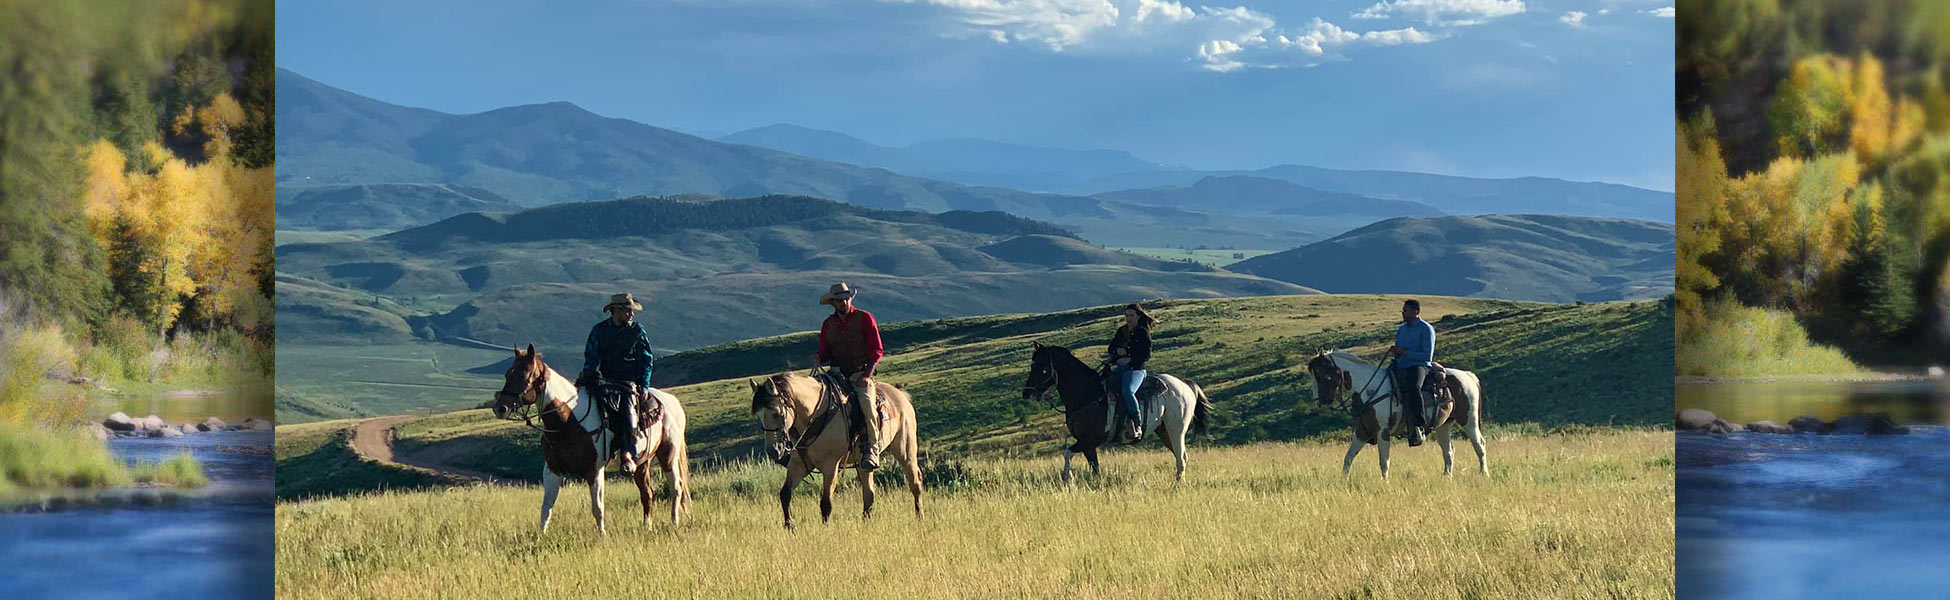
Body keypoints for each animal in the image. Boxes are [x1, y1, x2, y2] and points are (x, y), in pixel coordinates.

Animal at [487, 344, 694, 537]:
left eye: (524, 375)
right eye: (507, 374)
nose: (500, 408)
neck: (569, 421)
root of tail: (672, 401)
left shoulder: (594, 470)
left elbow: (597, 507)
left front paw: (602, 535)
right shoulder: (552, 469)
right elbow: (546, 508)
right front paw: (541, 536)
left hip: (668, 455)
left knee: (676, 488)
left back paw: (674, 522)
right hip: (642, 462)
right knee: (647, 493)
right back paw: (647, 527)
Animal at [748, 370, 924, 529]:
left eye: (777, 413)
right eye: (759, 416)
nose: (773, 451)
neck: (814, 415)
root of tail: (901, 396)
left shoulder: (830, 465)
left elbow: (826, 503)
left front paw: (825, 529)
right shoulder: (799, 465)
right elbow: (785, 494)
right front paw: (789, 526)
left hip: (905, 451)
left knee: (915, 483)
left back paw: (919, 516)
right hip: (863, 463)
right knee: (869, 492)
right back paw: (866, 522)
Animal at [1014, 342, 1209, 483]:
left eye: (1042, 368)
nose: (1026, 393)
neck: (1088, 394)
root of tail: (1186, 385)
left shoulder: (1090, 440)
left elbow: (1069, 454)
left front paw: (1068, 477)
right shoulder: (1087, 444)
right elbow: (1092, 467)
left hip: (1177, 430)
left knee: (1181, 457)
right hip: (1163, 430)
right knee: (1181, 456)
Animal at [1310, 348, 1489, 481]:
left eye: (1323, 374)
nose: (1319, 402)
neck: (1370, 390)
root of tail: (1468, 375)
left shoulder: (1383, 432)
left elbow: (1384, 462)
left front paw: (1385, 483)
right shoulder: (1361, 432)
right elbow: (1348, 458)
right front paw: (1344, 481)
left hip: (1469, 420)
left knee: (1479, 445)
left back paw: (1484, 473)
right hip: (1444, 425)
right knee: (1448, 451)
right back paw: (1447, 477)